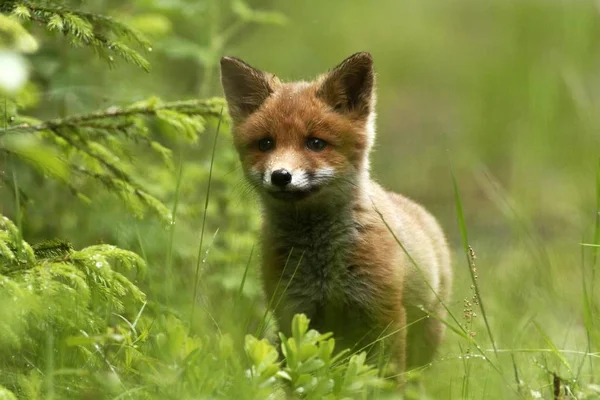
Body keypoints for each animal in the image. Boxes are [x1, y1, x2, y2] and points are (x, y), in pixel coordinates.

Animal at [219, 51, 450, 380]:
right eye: (266, 144)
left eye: (315, 143)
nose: (280, 176)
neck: (322, 267)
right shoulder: (293, 313)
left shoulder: (385, 314)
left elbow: (389, 379)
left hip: (425, 335)